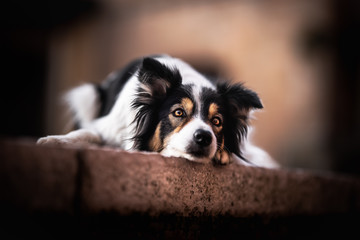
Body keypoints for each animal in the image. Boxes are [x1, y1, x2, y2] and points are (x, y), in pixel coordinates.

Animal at [37, 54, 278, 168]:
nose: (204, 137)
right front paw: (53, 141)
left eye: (217, 121)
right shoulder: (109, 127)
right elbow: (85, 133)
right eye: (178, 112)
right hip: (87, 96)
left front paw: (223, 153)